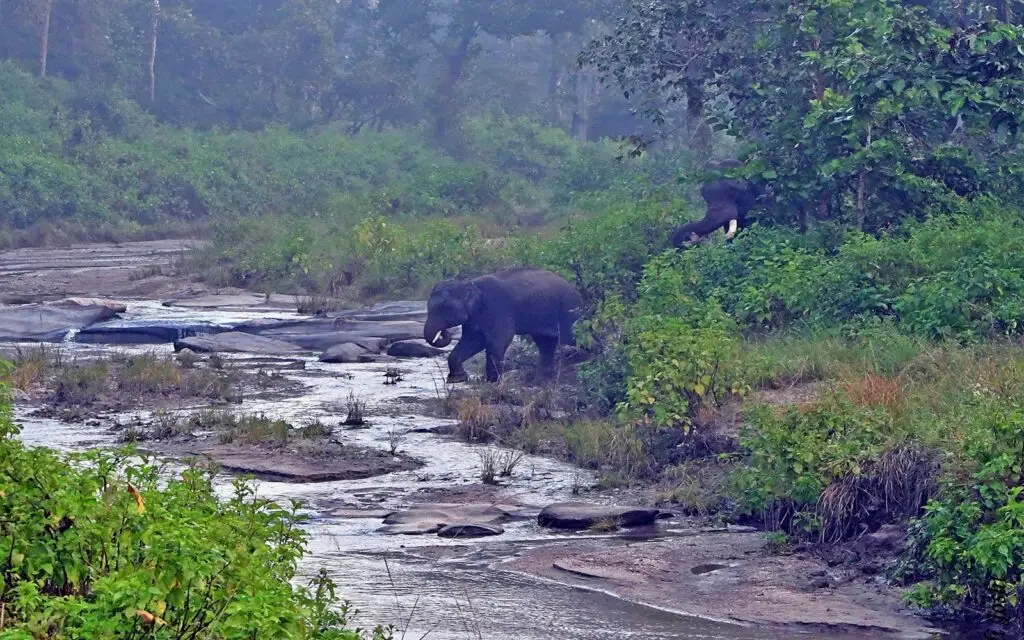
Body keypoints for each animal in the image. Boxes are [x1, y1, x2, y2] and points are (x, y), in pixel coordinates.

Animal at [423, 268, 584, 383]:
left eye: (445, 308)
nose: (443, 333)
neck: (471, 283)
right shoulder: (473, 318)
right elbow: (472, 342)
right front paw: (458, 379)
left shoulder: (499, 309)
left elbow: (497, 341)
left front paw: (492, 381)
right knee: (546, 343)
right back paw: (544, 379)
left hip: (569, 311)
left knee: (570, 338)